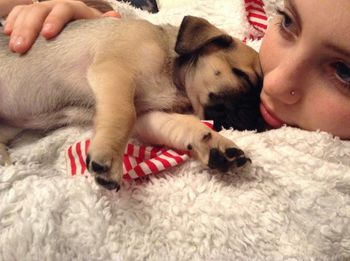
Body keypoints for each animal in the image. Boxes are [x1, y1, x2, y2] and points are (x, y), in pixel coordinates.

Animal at [0, 16, 262, 190]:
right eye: (242, 76)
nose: (259, 119)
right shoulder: (114, 72)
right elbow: (123, 114)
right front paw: (108, 155)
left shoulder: (149, 115)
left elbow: (183, 125)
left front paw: (215, 144)